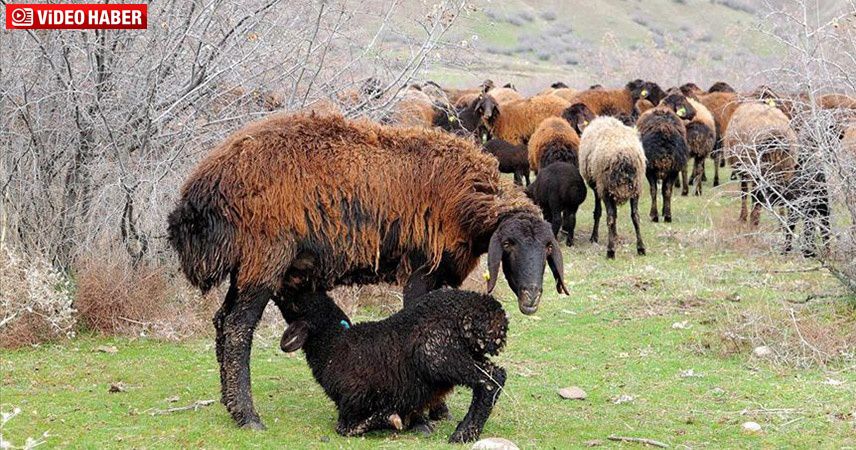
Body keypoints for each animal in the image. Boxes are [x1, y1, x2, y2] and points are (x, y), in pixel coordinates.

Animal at [280, 288, 508, 442]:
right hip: (466, 354)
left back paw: (463, 434)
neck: (333, 346)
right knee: (496, 375)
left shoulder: (352, 402)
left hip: (436, 355)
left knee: (491, 379)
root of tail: (489, 313)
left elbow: (346, 429)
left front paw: (391, 418)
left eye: (295, 303)